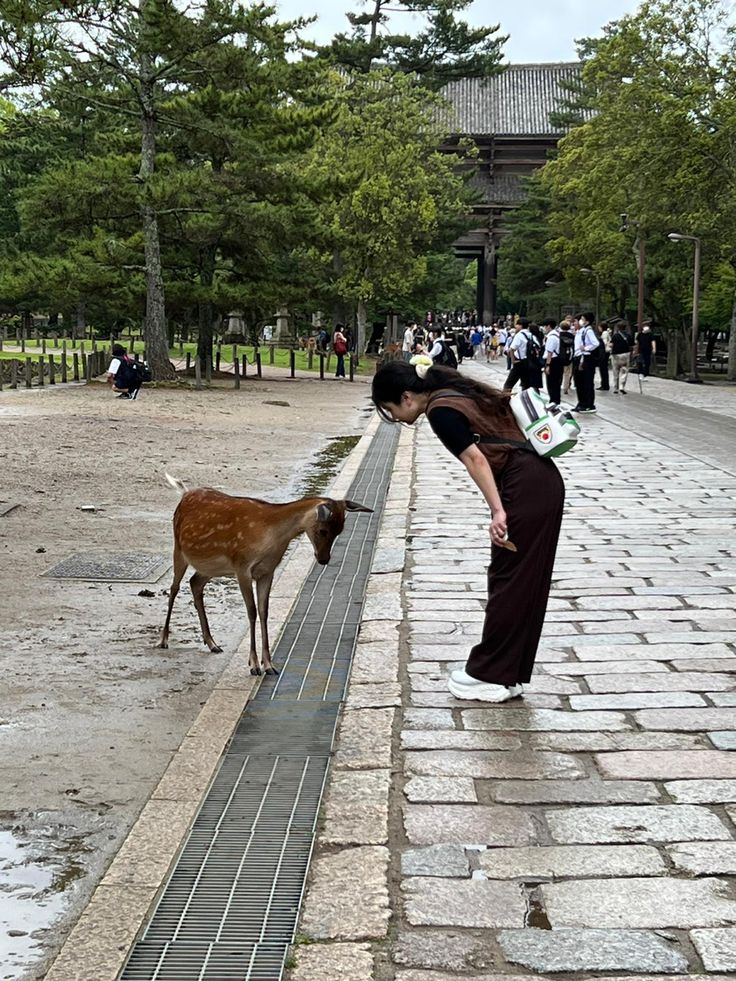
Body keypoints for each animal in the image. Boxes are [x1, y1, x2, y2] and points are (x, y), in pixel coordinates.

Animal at [158, 475, 373, 675]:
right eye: (322, 530)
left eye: (340, 530)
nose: (323, 559)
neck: (269, 538)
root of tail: (185, 493)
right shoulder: (242, 567)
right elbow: (252, 611)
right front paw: (253, 665)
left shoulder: (267, 571)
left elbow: (264, 611)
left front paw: (269, 665)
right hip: (179, 549)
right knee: (174, 588)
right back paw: (163, 640)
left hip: (211, 567)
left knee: (195, 583)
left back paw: (213, 643)